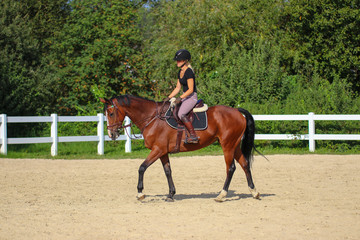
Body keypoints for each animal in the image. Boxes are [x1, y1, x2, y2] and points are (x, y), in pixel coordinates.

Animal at [100, 94, 260, 202]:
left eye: (111, 113)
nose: (111, 134)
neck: (153, 118)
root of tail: (236, 111)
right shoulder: (163, 152)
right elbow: (168, 171)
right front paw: (171, 194)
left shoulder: (157, 150)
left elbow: (142, 168)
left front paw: (140, 193)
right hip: (234, 145)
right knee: (245, 164)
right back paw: (254, 192)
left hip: (227, 145)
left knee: (231, 168)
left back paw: (222, 194)